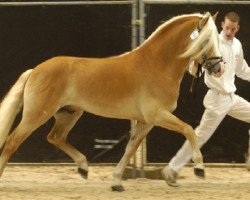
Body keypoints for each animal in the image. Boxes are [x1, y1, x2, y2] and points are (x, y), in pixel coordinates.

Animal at [0, 11, 223, 191]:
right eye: (206, 41)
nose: (219, 68)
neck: (157, 65)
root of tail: (34, 70)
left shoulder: (146, 122)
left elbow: (130, 148)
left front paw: (116, 182)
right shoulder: (157, 115)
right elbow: (188, 129)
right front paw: (200, 168)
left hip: (69, 113)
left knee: (55, 137)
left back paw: (83, 167)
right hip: (36, 115)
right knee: (11, 142)